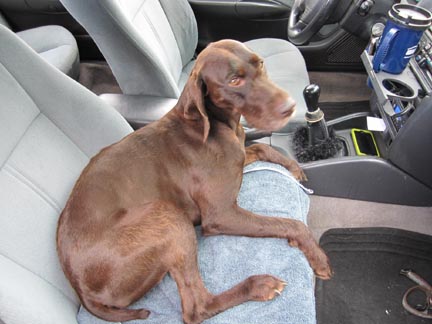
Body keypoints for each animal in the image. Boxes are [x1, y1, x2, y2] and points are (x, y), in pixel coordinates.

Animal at [56, 39, 330, 324]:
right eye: (234, 81)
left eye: (261, 63)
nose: (291, 106)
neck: (211, 123)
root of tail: (79, 288)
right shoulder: (221, 215)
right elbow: (289, 223)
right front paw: (316, 255)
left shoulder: (239, 157)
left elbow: (265, 149)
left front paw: (294, 167)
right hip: (168, 217)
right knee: (196, 307)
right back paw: (257, 285)